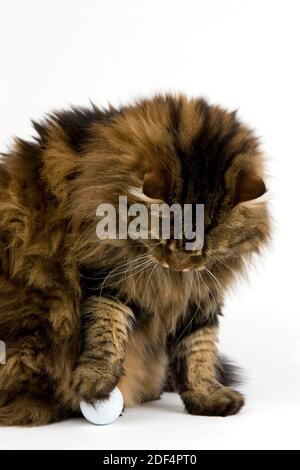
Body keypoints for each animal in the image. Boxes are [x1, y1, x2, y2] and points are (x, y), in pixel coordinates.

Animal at [0, 93, 270, 424]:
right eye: (163, 239)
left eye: (205, 248)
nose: (179, 265)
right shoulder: (108, 275)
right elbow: (107, 329)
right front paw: (96, 382)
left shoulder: (198, 295)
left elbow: (198, 348)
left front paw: (206, 396)